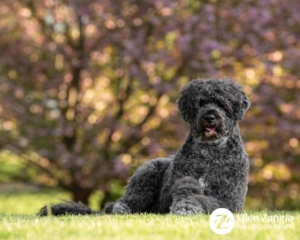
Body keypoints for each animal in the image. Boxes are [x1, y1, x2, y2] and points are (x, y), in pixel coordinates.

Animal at [39, 78, 251, 217]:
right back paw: (120, 209)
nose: (210, 117)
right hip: (145, 175)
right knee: (119, 203)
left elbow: (201, 198)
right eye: (199, 103)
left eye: (222, 103)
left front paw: (186, 207)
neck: (209, 153)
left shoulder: (228, 201)